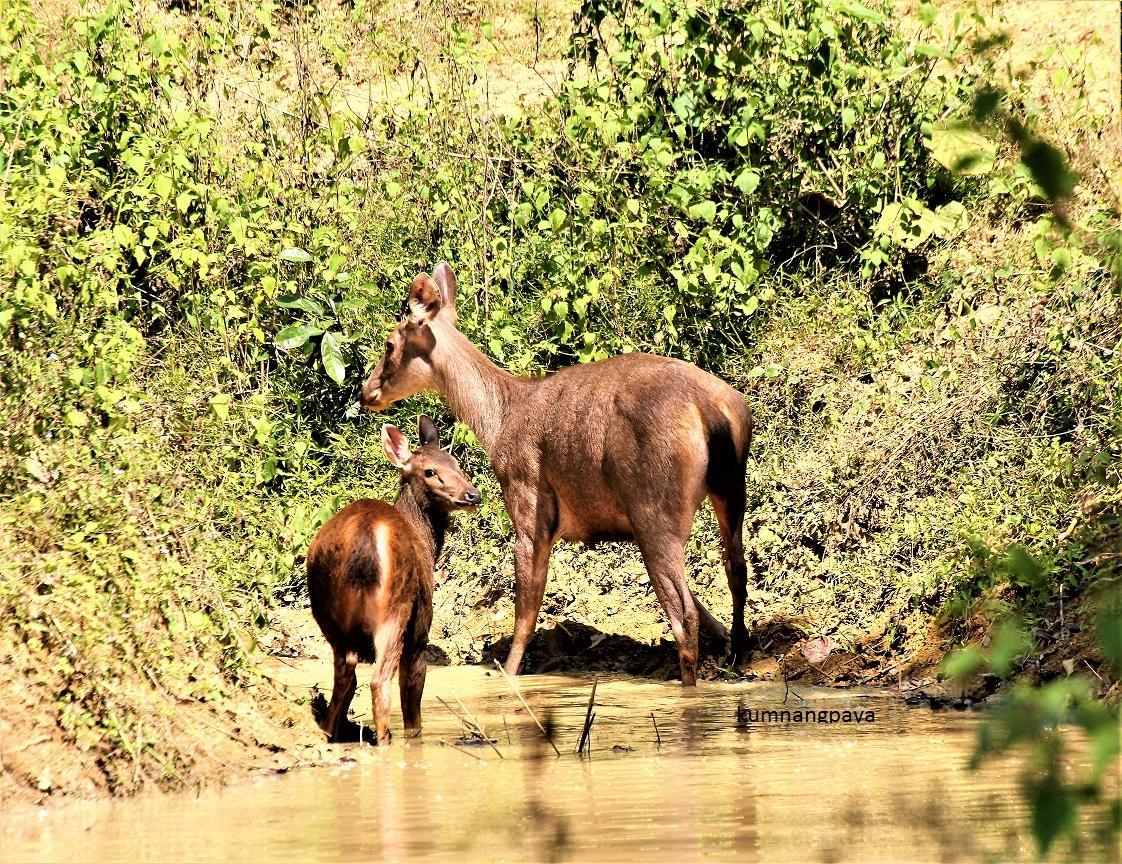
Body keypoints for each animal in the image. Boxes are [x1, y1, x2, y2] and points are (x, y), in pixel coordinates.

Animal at [305, 412, 480, 736]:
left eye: (456, 463)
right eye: (430, 471)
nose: (472, 494)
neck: (427, 545)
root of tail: (363, 541)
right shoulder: (421, 629)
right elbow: (413, 703)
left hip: (325, 612)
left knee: (346, 672)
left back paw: (331, 731)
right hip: (395, 608)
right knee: (378, 679)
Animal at [363, 260, 749, 682]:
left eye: (389, 344)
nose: (366, 392)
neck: (498, 420)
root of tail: (709, 407)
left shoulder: (528, 502)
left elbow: (526, 609)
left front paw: (507, 674)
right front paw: (724, 637)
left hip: (654, 504)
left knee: (683, 614)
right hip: (729, 489)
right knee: (736, 570)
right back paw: (738, 653)